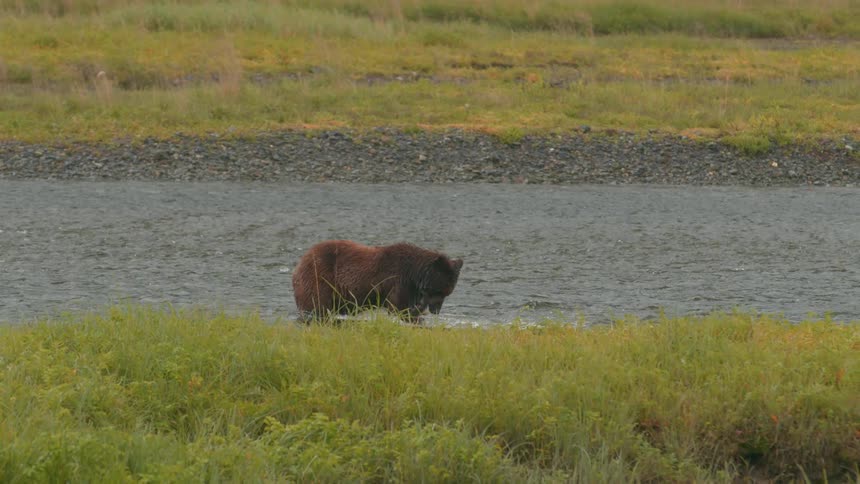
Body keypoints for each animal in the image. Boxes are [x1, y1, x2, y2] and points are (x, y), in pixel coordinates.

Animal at [292, 240, 463, 323]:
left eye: (447, 293)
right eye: (438, 291)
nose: (436, 310)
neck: (415, 275)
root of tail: (300, 261)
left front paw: (419, 311)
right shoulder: (397, 280)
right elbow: (397, 306)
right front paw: (415, 316)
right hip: (320, 278)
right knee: (316, 304)